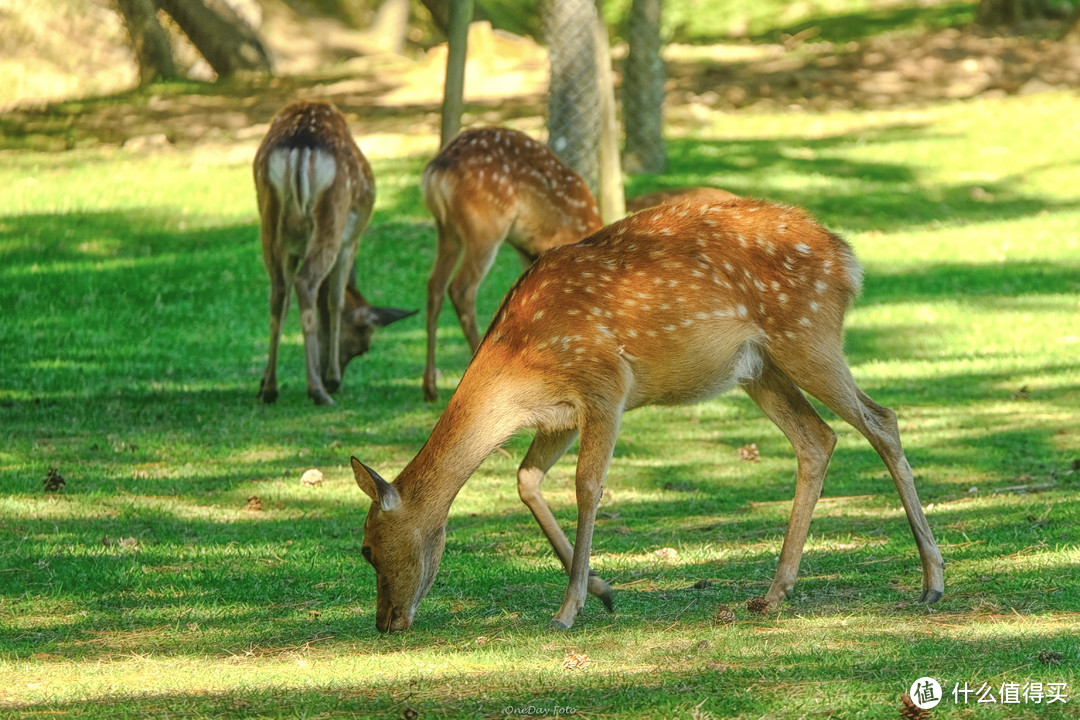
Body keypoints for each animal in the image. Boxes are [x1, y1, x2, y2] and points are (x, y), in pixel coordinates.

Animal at [254, 99, 414, 405]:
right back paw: (317, 389)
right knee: (306, 283)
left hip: (270, 221)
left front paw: (263, 382)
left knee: (278, 292)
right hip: (333, 216)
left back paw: (270, 388)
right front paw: (332, 377)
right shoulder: (349, 243)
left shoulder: (292, 249)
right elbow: (335, 300)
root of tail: (300, 147)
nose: (336, 376)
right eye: (363, 345)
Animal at [349, 195, 941, 630]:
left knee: (881, 420)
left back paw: (931, 580)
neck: (520, 361)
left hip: (807, 334)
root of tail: (848, 260)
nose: (386, 622)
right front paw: (602, 590)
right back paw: (775, 593)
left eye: (368, 549)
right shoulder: (559, 416)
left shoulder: (605, 386)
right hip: (759, 368)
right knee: (817, 439)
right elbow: (526, 479)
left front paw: (569, 609)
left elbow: (588, 485)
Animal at [419, 126, 604, 403]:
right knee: (461, 288)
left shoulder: (529, 252)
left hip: (448, 230)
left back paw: (430, 386)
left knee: (435, 286)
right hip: (487, 225)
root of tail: (436, 171)